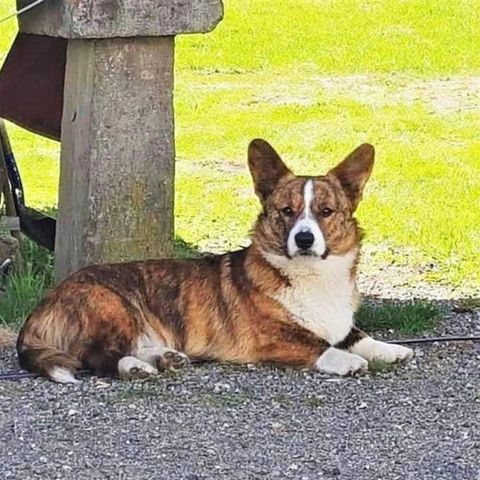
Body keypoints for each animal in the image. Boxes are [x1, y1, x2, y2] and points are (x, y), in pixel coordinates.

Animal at [15, 139, 412, 382]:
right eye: (287, 211)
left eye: (326, 212)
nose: (304, 238)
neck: (313, 277)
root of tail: (44, 305)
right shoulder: (271, 336)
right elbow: (320, 346)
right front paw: (346, 361)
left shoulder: (343, 326)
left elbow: (358, 337)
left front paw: (392, 350)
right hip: (114, 308)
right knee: (98, 356)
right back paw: (135, 368)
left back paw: (166, 358)